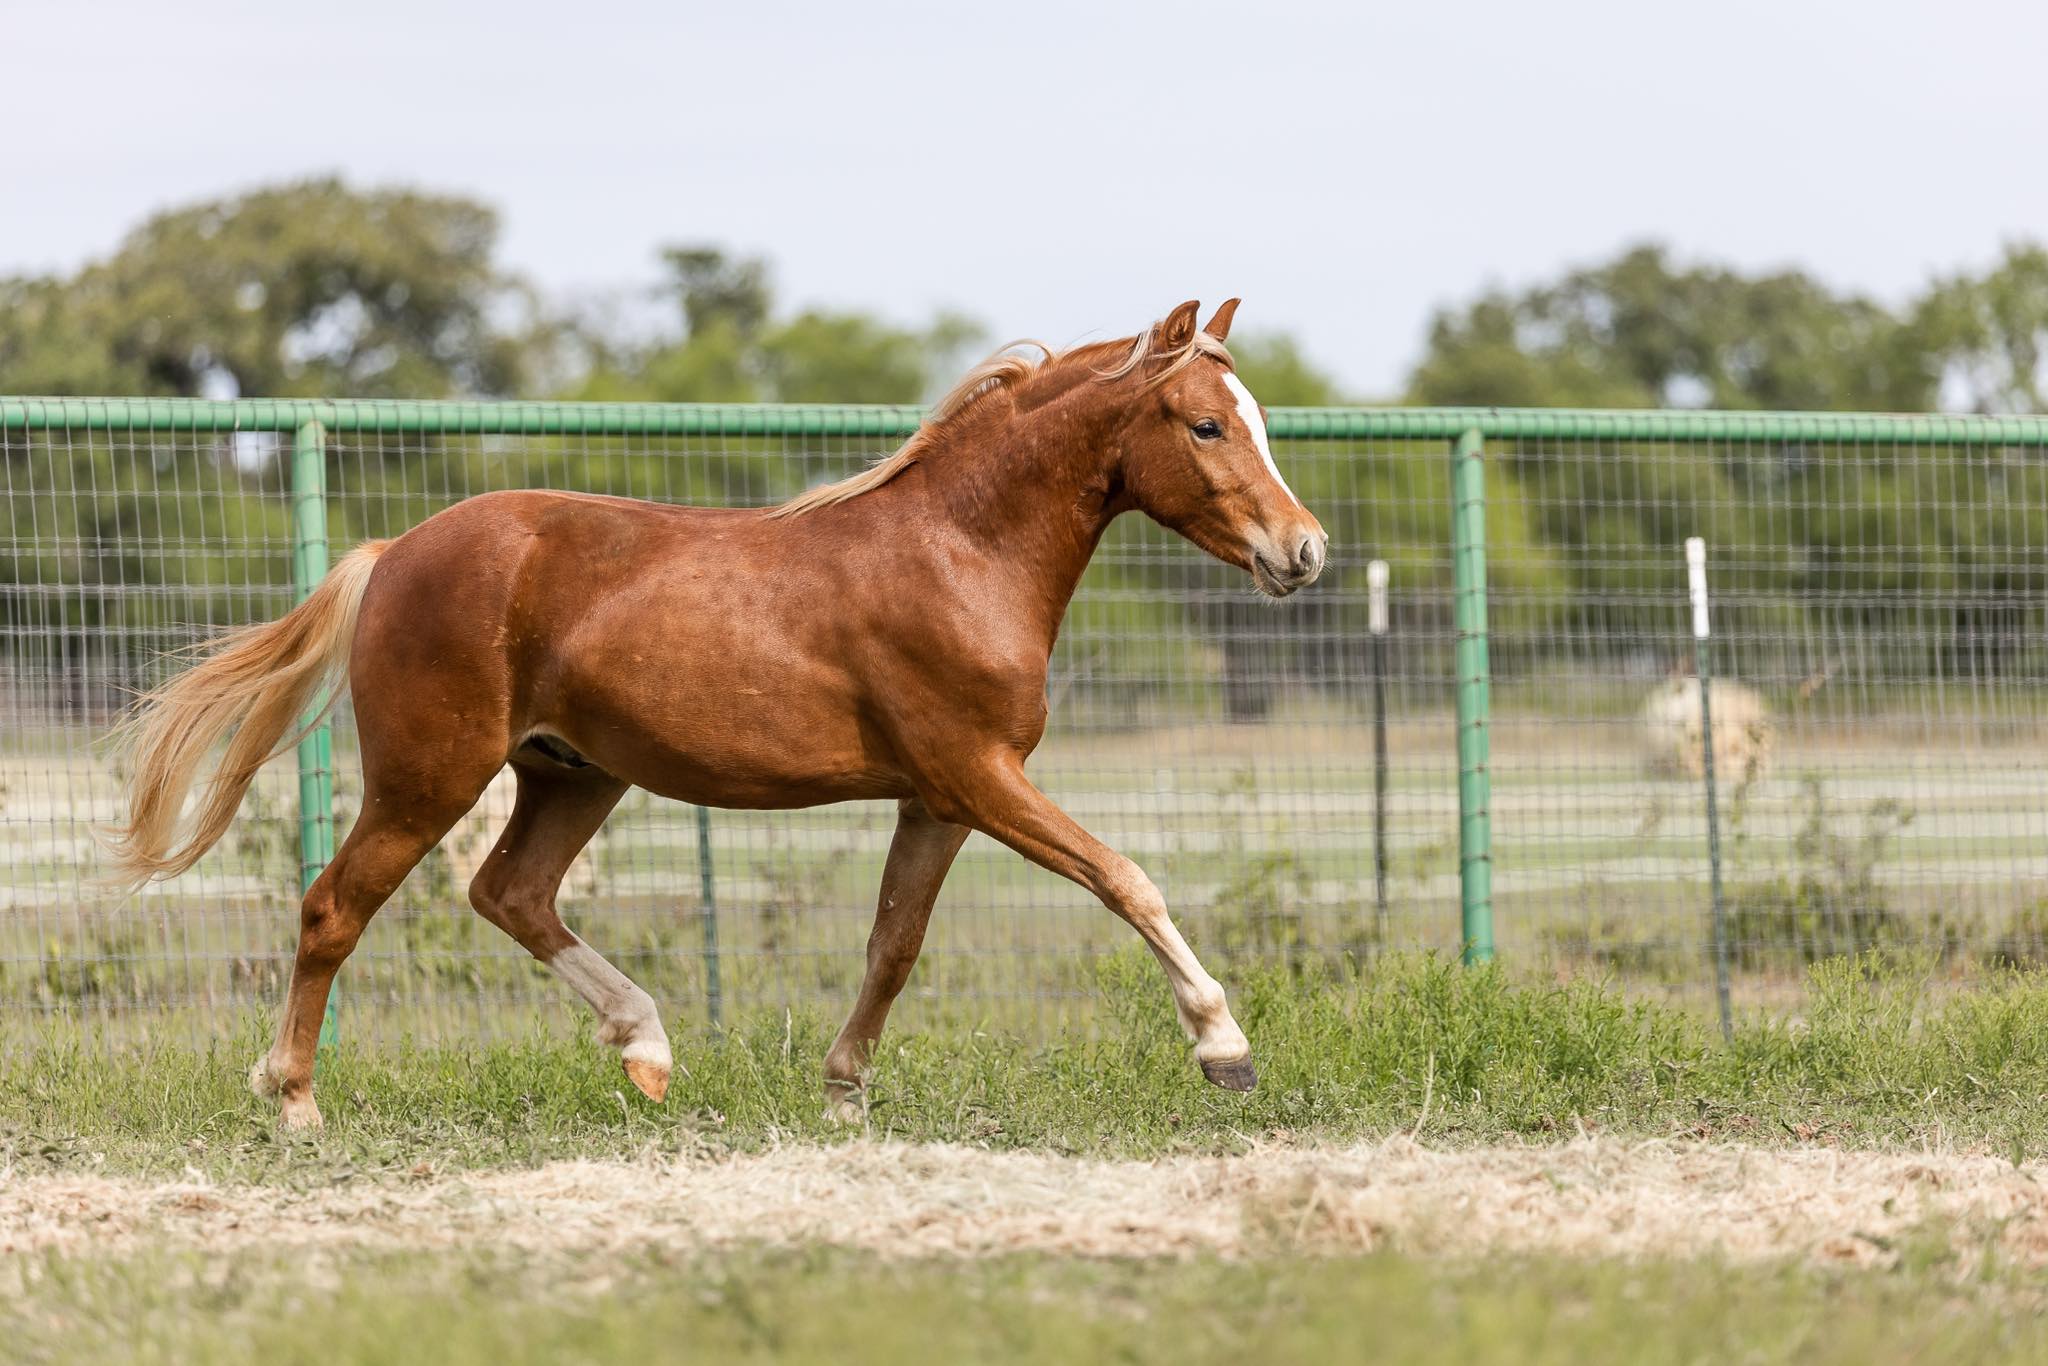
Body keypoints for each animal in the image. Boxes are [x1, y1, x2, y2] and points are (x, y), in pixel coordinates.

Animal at [106, 298, 1329, 1128]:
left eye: (1255, 420)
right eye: (1205, 426)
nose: (1304, 551)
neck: (962, 551)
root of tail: (392, 552)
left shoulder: (938, 800)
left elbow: (893, 944)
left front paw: (842, 1092)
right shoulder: (979, 773)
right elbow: (1126, 879)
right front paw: (1224, 1047)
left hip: (571, 772)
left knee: (510, 893)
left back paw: (646, 1048)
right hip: (426, 776)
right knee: (333, 910)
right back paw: (294, 1100)